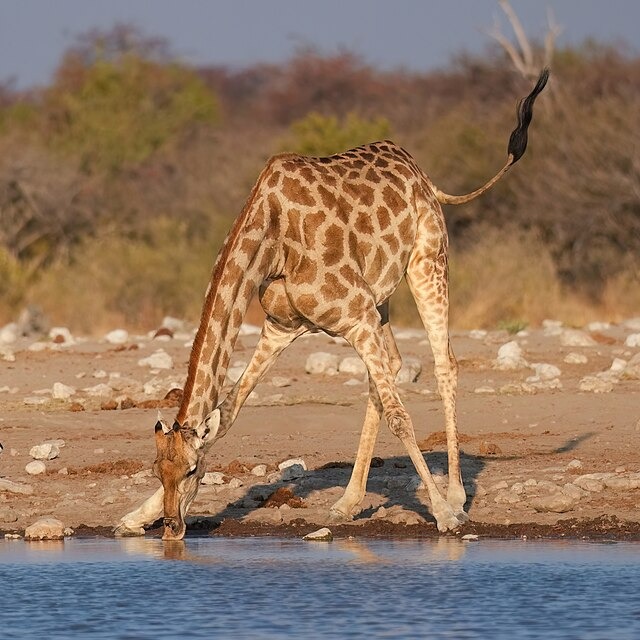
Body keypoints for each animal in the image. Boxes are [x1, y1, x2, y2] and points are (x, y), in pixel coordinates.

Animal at [116, 68, 549, 540]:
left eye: (194, 471)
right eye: (158, 471)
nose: (172, 529)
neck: (271, 238)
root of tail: (424, 177)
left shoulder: (354, 317)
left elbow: (400, 415)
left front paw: (442, 514)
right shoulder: (282, 326)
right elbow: (228, 412)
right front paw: (133, 517)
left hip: (427, 263)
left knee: (443, 363)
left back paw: (454, 497)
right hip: (379, 301)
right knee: (391, 368)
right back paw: (346, 503)